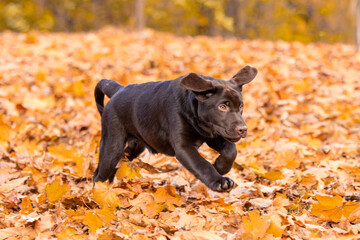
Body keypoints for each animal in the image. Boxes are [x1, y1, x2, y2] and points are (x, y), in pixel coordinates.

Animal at [93, 65, 256, 191]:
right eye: (222, 107)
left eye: (241, 106)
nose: (243, 129)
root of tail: (118, 90)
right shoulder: (184, 147)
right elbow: (202, 164)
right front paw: (219, 181)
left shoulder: (214, 134)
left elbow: (231, 151)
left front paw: (220, 167)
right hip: (112, 144)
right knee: (99, 173)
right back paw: (98, 193)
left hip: (135, 146)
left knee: (118, 164)